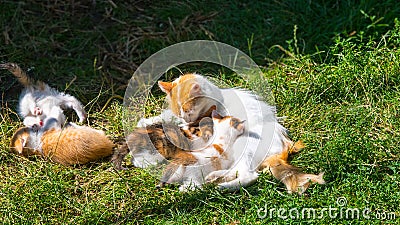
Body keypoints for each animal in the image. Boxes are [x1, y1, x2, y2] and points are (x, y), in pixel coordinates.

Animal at [141, 73, 294, 190]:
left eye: (189, 111)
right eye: (180, 112)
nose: (185, 118)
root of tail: (284, 146)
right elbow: (168, 118)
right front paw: (147, 121)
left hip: (243, 144)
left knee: (249, 175)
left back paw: (221, 187)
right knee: (237, 170)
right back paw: (214, 177)